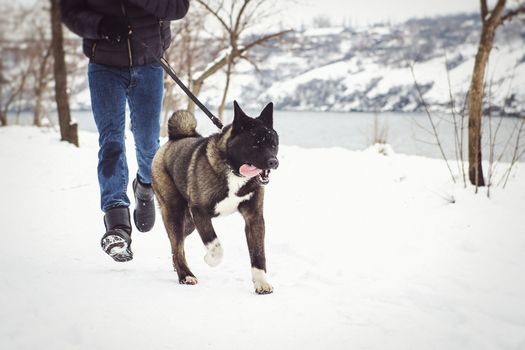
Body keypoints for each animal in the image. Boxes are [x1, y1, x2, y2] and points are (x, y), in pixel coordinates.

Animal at [151, 102, 278, 296]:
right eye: (255, 145)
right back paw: (185, 275)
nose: (274, 162)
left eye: (273, 144)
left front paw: (261, 282)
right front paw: (209, 259)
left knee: (176, 244)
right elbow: (216, 246)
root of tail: (175, 139)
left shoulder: (254, 218)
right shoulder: (200, 212)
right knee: (177, 245)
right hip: (175, 212)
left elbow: (258, 254)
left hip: (189, 222)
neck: (233, 171)